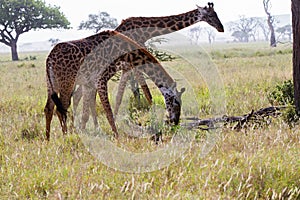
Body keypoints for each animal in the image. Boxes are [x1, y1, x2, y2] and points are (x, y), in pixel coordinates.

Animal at [43, 30, 184, 141]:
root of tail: (50, 58)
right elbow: (108, 112)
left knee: (49, 109)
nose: (175, 122)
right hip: (66, 82)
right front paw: (117, 137)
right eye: (176, 102)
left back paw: (48, 139)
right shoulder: (101, 80)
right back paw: (65, 136)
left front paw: (84, 134)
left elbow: (86, 113)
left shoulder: (89, 84)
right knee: (61, 109)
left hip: (51, 84)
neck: (124, 52)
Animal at [72, 2, 223, 126]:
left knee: (81, 94)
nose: (221, 28)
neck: (145, 31)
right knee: (80, 94)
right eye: (210, 15)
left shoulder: (130, 65)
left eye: (216, 14)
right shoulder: (135, 63)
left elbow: (121, 95)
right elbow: (146, 91)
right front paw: (153, 116)